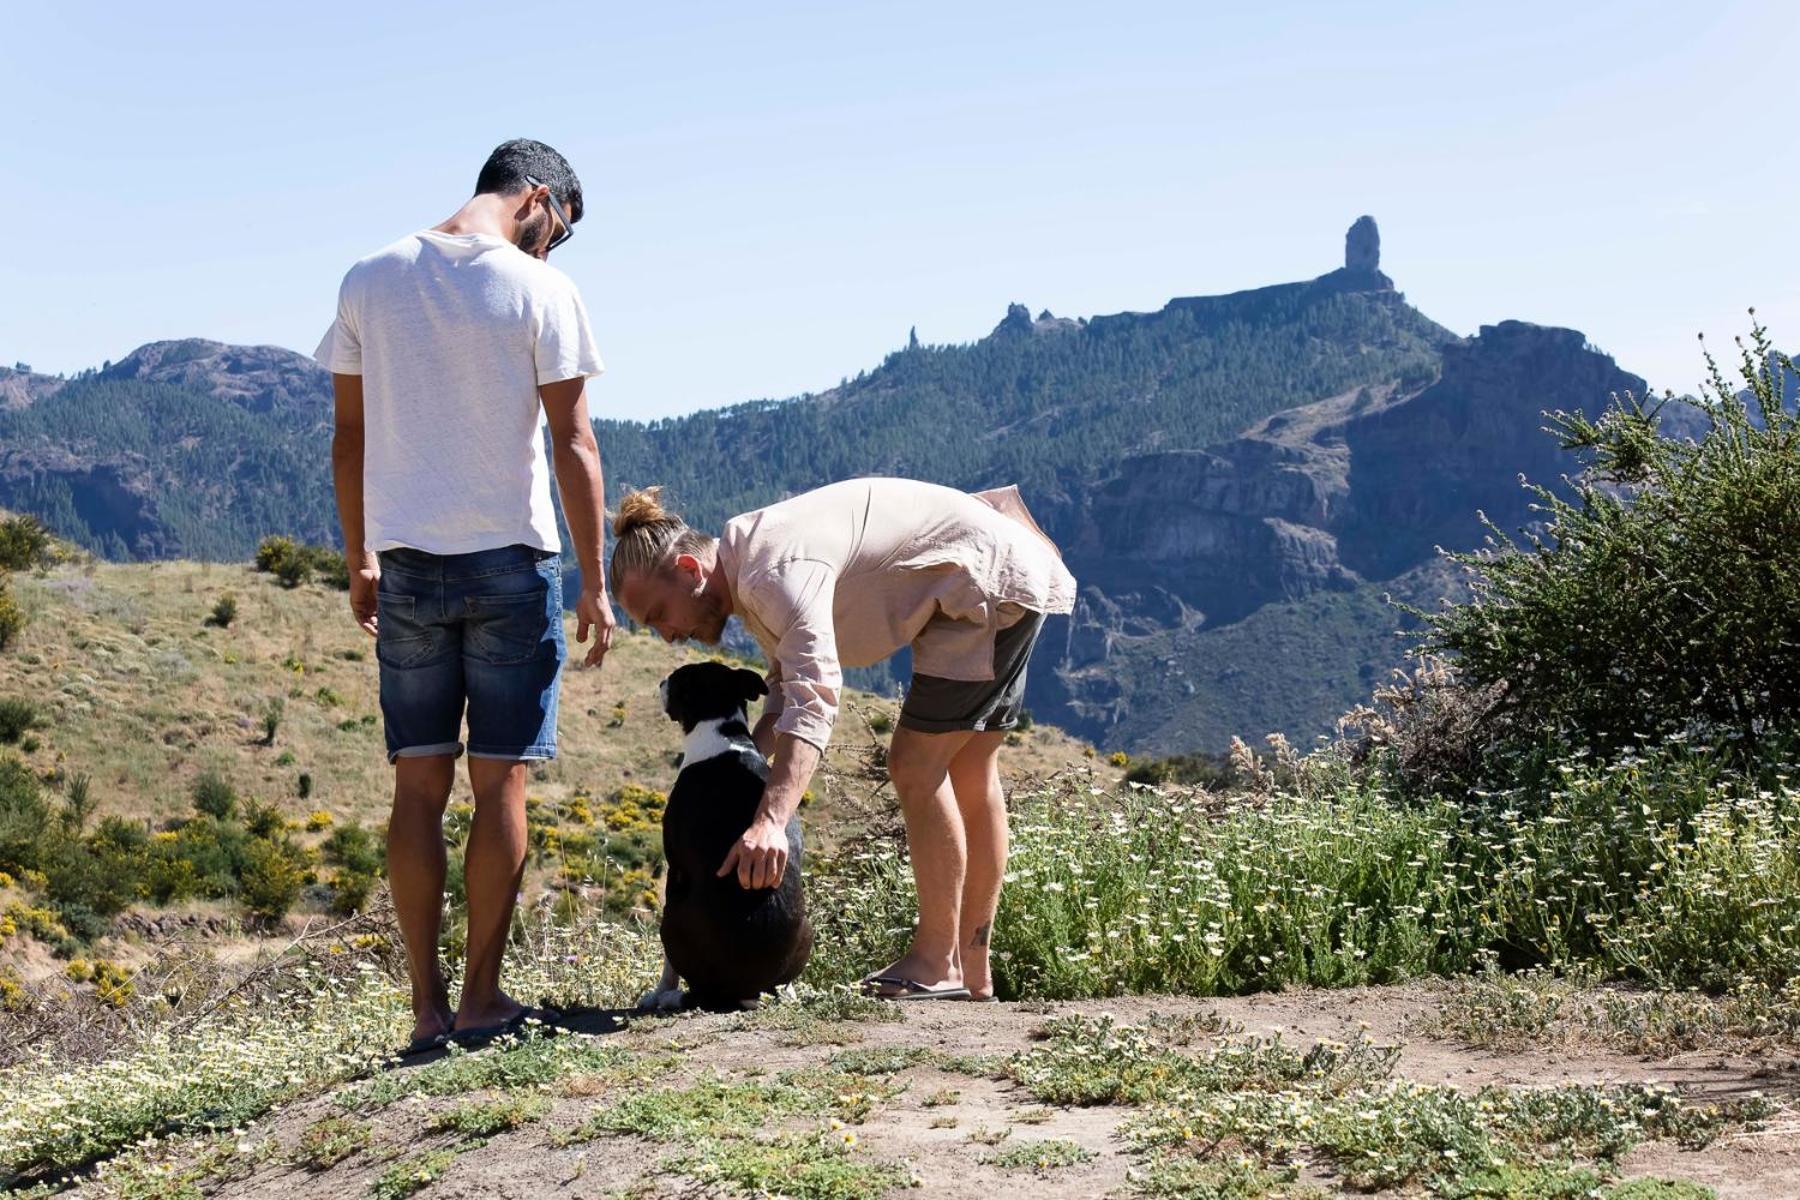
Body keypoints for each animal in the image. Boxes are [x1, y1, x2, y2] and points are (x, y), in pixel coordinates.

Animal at [640, 662, 817, 1007]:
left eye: (679, 678)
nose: (661, 682)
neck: (722, 729)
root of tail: (748, 990)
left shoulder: (676, 868)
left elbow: (668, 965)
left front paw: (658, 992)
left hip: (672, 918)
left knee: (698, 990)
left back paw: (673, 998)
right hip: (808, 927)